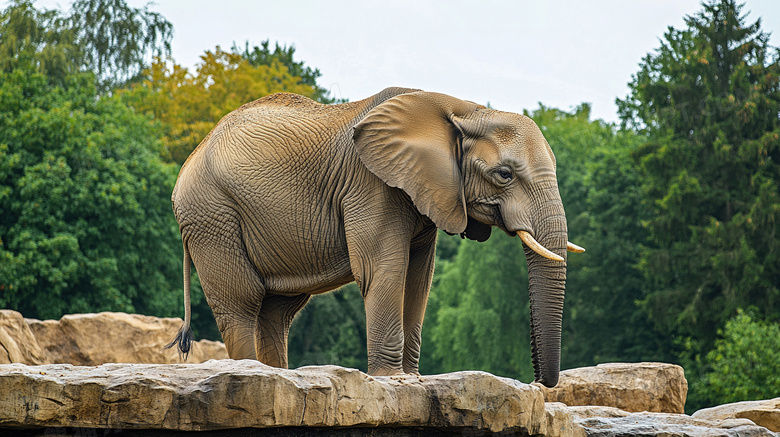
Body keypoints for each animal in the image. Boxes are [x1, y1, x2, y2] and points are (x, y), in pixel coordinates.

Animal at [169, 87, 584, 386]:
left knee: (277, 309)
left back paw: (280, 376)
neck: (462, 109)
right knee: (242, 302)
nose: (538, 382)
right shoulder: (371, 185)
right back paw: (252, 372)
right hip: (212, 215)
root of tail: (191, 157)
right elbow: (383, 270)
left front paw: (412, 378)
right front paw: (393, 379)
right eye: (504, 175)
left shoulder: (425, 194)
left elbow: (419, 280)